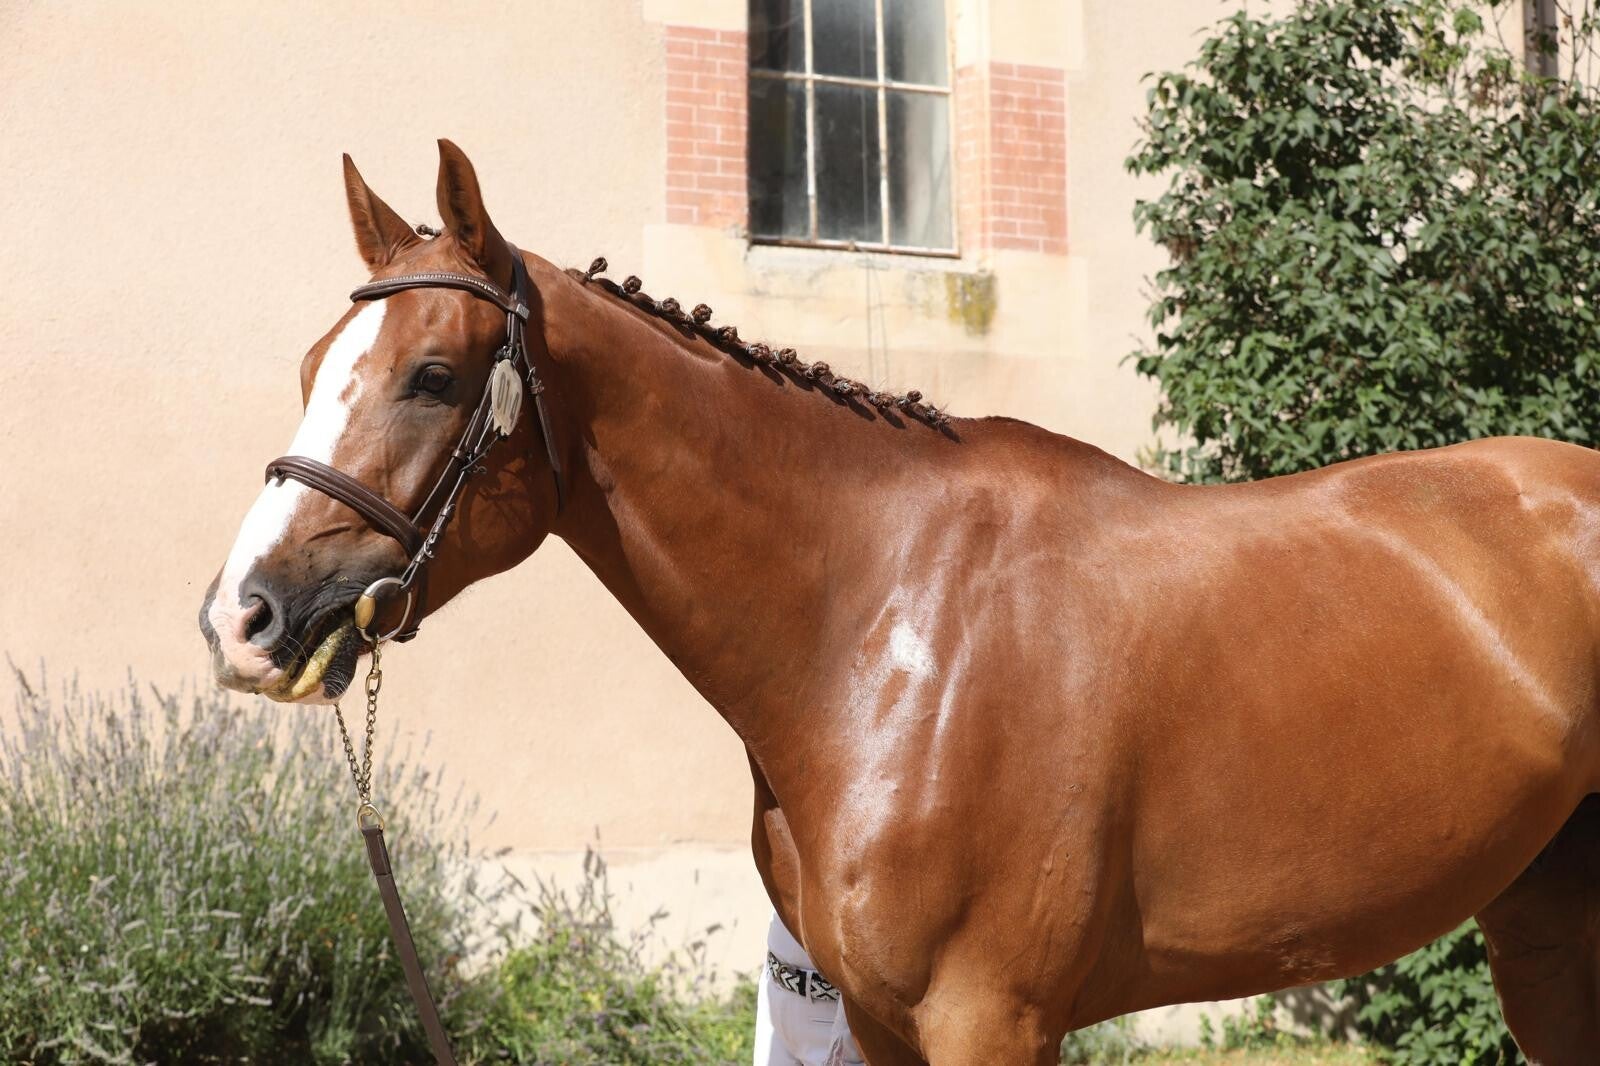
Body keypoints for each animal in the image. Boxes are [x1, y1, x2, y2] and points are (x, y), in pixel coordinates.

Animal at [199, 141, 1600, 1064]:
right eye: (316, 366)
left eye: (433, 377)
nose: (242, 619)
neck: (877, 627)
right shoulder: (876, 1021)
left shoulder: (991, 1021)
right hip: (1544, 925)